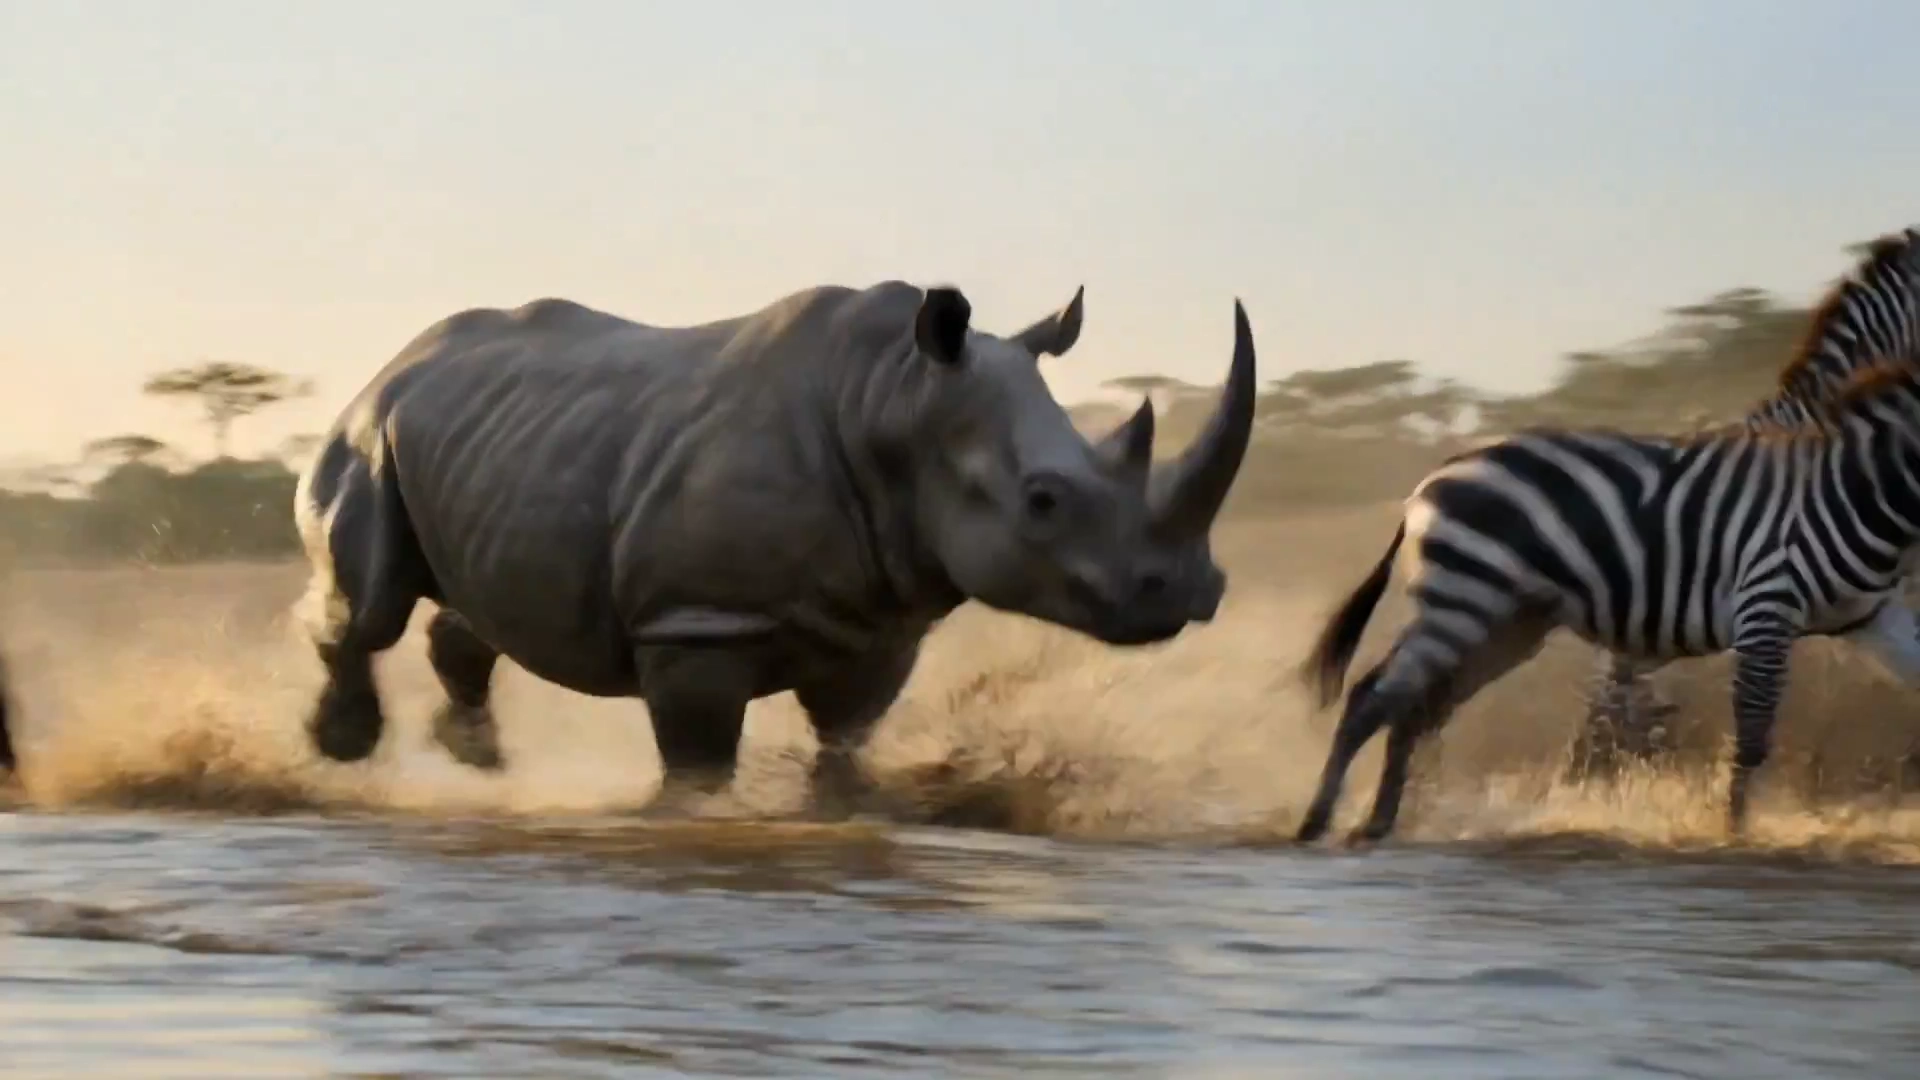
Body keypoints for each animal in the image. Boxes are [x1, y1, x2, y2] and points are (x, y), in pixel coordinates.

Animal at [292, 280, 1258, 803]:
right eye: (1044, 501)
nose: (1189, 590)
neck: (894, 400)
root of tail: (395, 362)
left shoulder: (882, 622)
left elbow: (845, 741)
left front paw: (846, 808)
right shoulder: (695, 623)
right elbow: (698, 766)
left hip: (491, 441)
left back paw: (477, 759)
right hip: (368, 433)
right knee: (368, 604)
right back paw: (341, 747)